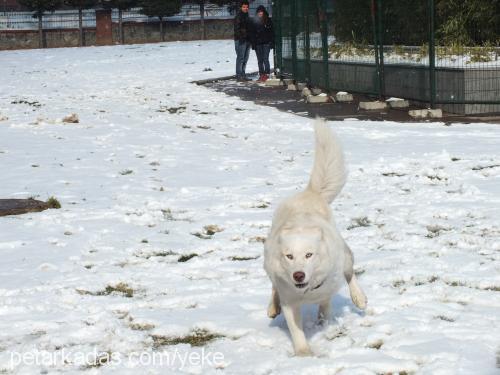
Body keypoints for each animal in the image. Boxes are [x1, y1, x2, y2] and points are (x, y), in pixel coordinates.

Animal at [262, 121, 368, 358]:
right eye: (289, 256)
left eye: (309, 255)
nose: (298, 275)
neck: (307, 290)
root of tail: (310, 192)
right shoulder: (290, 301)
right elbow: (296, 330)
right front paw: (304, 354)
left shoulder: (327, 290)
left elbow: (325, 309)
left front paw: (323, 327)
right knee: (273, 287)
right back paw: (272, 307)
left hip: (345, 257)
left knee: (351, 275)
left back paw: (360, 298)